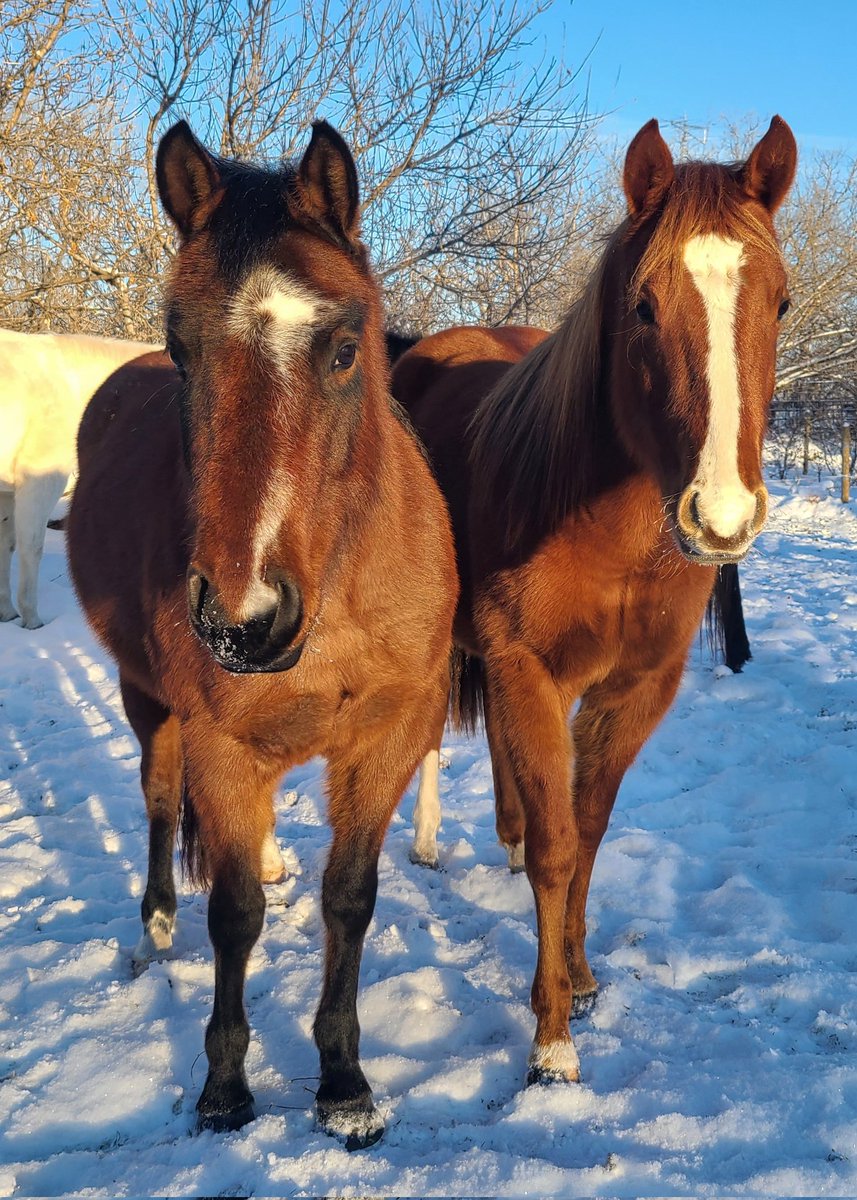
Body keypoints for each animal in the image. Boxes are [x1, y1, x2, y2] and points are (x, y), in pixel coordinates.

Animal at [0, 328, 155, 628]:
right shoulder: (39, 482)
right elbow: (31, 548)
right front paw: (32, 621)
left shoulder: (6, 493)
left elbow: (7, 545)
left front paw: (7, 612)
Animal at [67, 119, 457, 1147]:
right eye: (181, 346)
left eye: (345, 347)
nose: (244, 619)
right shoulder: (219, 744)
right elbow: (234, 915)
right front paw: (224, 1088)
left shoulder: (382, 738)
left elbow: (349, 901)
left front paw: (343, 1082)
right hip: (146, 701)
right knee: (158, 802)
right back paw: (158, 920)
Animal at [392, 116, 796, 1087]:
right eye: (642, 306)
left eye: (780, 304)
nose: (721, 517)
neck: (611, 535)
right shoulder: (530, 671)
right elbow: (556, 849)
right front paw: (550, 1044)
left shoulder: (633, 688)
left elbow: (586, 832)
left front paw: (576, 977)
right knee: (432, 739)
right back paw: (428, 840)